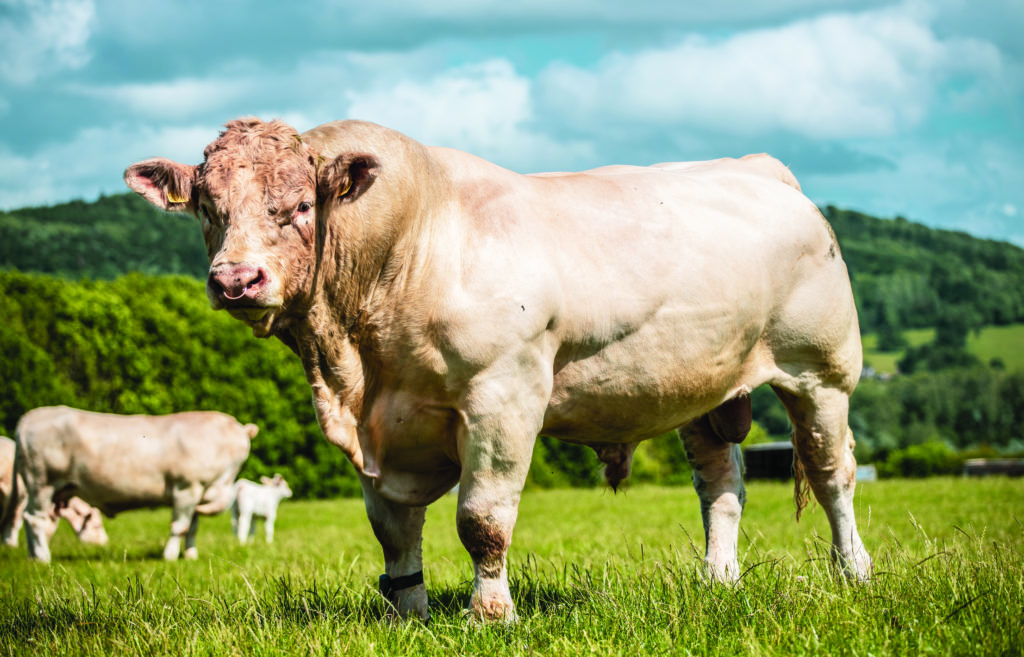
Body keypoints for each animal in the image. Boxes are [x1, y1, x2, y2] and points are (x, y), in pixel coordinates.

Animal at [11, 406, 256, 563]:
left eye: (243, 446)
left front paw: (190, 555)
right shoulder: (187, 488)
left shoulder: (199, 493)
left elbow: (192, 528)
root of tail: (30, 417)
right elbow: (179, 527)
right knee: (35, 519)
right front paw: (170, 557)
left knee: (29, 518)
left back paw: (34, 556)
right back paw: (43, 558)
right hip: (41, 483)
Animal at [124, 118, 872, 621]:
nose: (236, 280)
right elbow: (393, 527)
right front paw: (408, 611)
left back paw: (853, 571)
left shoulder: (502, 397)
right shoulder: (381, 429)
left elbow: (481, 518)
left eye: (301, 205)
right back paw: (719, 579)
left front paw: (490, 612)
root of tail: (758, 166)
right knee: (721, 483)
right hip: (702, 386)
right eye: (207, 208)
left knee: (832, 473)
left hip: (822, 372)